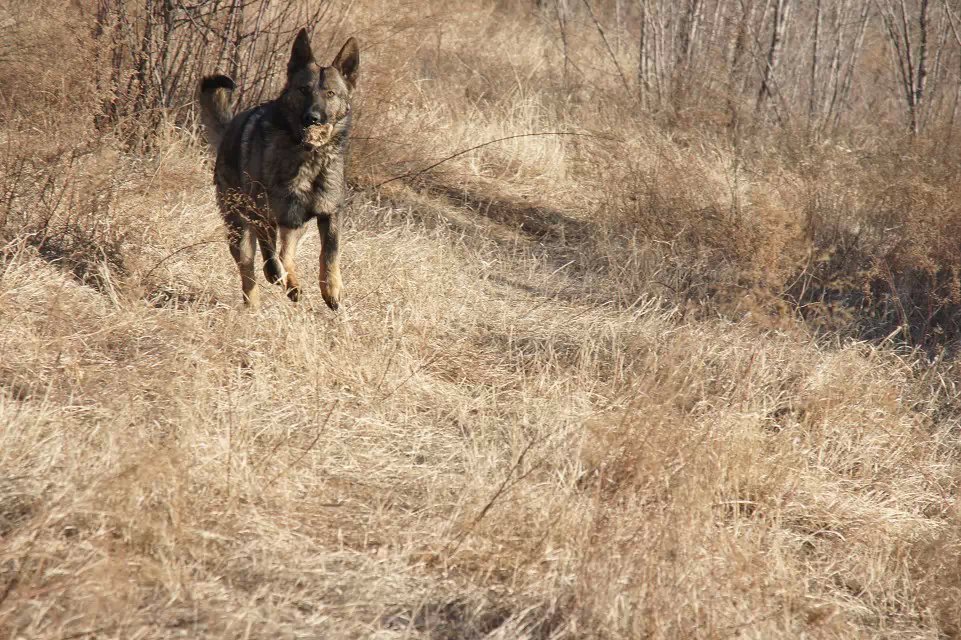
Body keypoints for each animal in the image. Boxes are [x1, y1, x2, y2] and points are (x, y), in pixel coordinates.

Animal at [199, 30, 360, 310]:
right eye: (304, 89)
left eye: (330, 93)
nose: (313, 118)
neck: (307, 155)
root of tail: (229, 128)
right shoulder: (260, 214)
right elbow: (270, 258)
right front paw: (277, 277)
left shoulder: (330, 213)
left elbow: (329, 253)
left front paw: (332, 289)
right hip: (240, 228)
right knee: (249, 268)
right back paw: (255, 303)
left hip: (293, 222)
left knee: (286, 254)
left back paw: (293, 285)